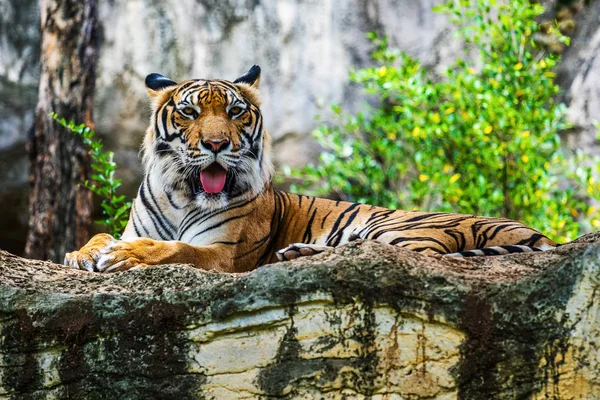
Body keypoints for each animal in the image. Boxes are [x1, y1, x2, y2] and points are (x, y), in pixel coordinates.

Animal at [63, 65, 556, 274]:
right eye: (189, 112)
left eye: (235, 111)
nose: (217, 145)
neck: (182, 193)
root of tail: (539, 233)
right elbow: (102, 234)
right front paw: (83, 252)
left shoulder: (223, 253)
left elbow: (175, 249)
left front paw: (125, 256)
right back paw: (297, 253)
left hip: (404, 229)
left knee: (404, 256)